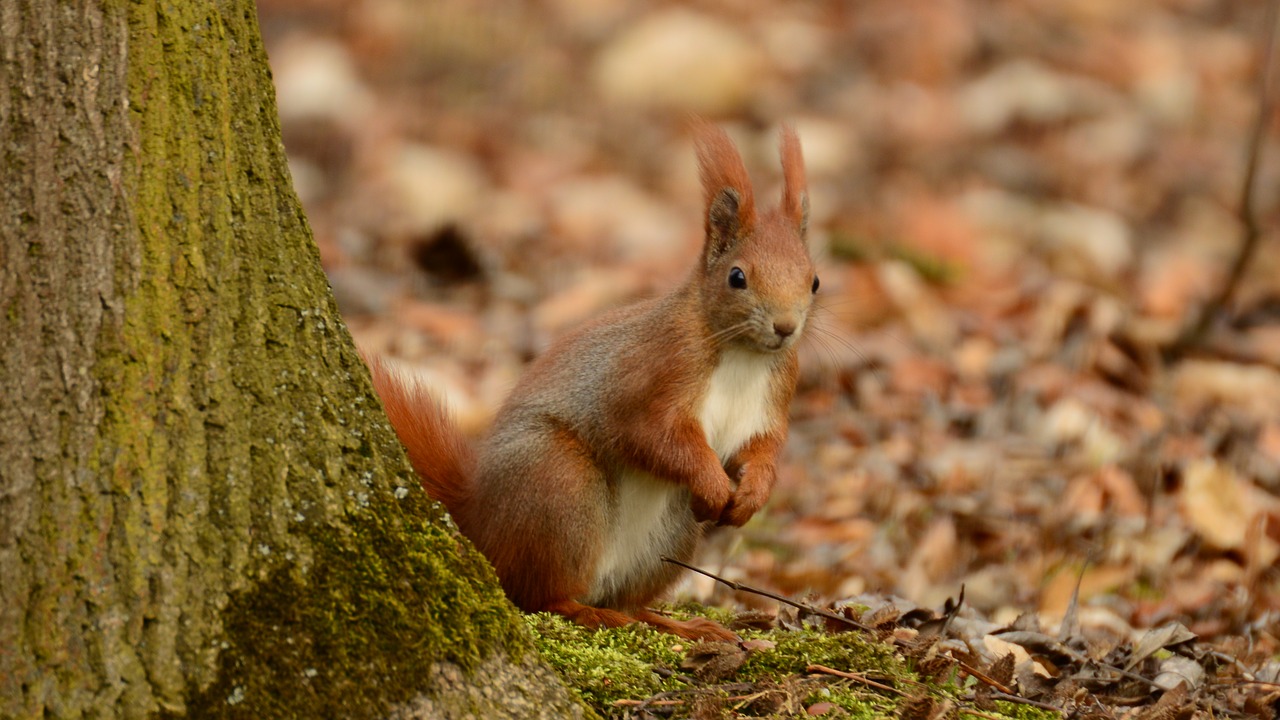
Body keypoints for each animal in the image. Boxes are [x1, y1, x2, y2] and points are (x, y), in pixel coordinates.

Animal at [366, 122, 814, 638]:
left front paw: (753, 493)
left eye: (815, 281)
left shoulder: (775, 396)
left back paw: (677, 624)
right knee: (539, 595)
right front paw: (715, 483)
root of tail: (480, 521)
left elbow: (763, 448)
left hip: (669, 536)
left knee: (630, 602)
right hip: (559, 483)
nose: (786, 327)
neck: (743, 355)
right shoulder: (651, 373)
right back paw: (587, 610)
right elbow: (651, 435)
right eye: (736, 277)